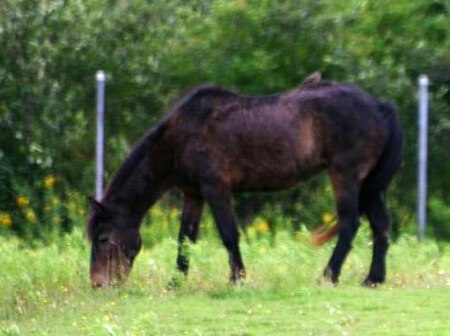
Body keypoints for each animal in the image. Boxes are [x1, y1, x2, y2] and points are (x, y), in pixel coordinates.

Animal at [86, 73, 402, 286]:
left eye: (103, 238)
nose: (98, 283)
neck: (184, 135)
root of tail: (378, 105)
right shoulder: (194, 194)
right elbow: (185, 238)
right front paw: (175, 282)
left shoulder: (216, 189)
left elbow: (228, 233)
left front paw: (237, 279)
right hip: (368, 185)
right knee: (380, 224)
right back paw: (373, 279)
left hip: (345, 177)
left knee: (350, 224)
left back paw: (328, 276)